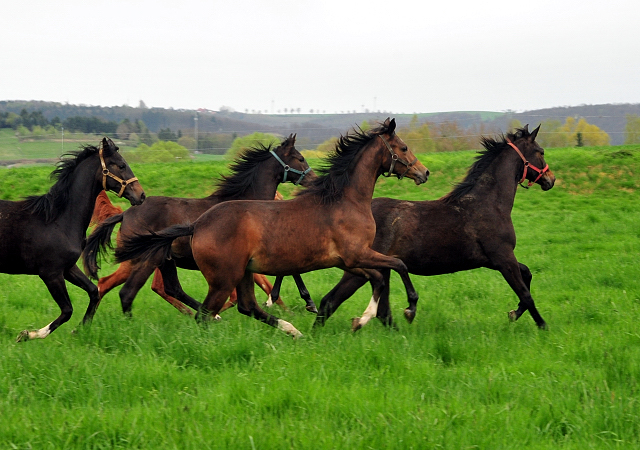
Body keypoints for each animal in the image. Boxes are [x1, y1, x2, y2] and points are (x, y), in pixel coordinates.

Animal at [0, 137, 145, 342]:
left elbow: (94, 292)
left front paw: (80, 330)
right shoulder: (51, 274)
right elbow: (67, 310)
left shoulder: (68, 268)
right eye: (121, 165)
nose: (141, 195)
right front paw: (27, 334)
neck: (59, 219)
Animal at [82, 135, 318, 314]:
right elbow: (286, 273)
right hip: (135, 260)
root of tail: (125, 213)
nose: (314, 179)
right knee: (107, 284)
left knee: (166, 288)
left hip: (161, 261)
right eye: (300, 158)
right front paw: (307, 302)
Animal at [115, 118, 430, 338]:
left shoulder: (349, 260)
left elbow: (378, 277)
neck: (344, 199)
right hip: (220, 278)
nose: (423, 172)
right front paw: (408, 309)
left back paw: (292, 330)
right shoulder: (356, 254)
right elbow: (398, 265)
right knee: (199, 312)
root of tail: (197, 224)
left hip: (239, 272)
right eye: (403, 148)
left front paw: (363, 319)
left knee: (243, 306)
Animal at [316, 125, 556, 328]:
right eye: (541, 151)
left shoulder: (493, 260)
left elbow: (527, 275)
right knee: (330, 301)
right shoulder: (503, 257)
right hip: (360, 267)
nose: (551, 179)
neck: (488, 203)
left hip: (381, 269)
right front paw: (542, 326)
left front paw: (514, 313)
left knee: (379, 311)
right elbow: (525, 293)